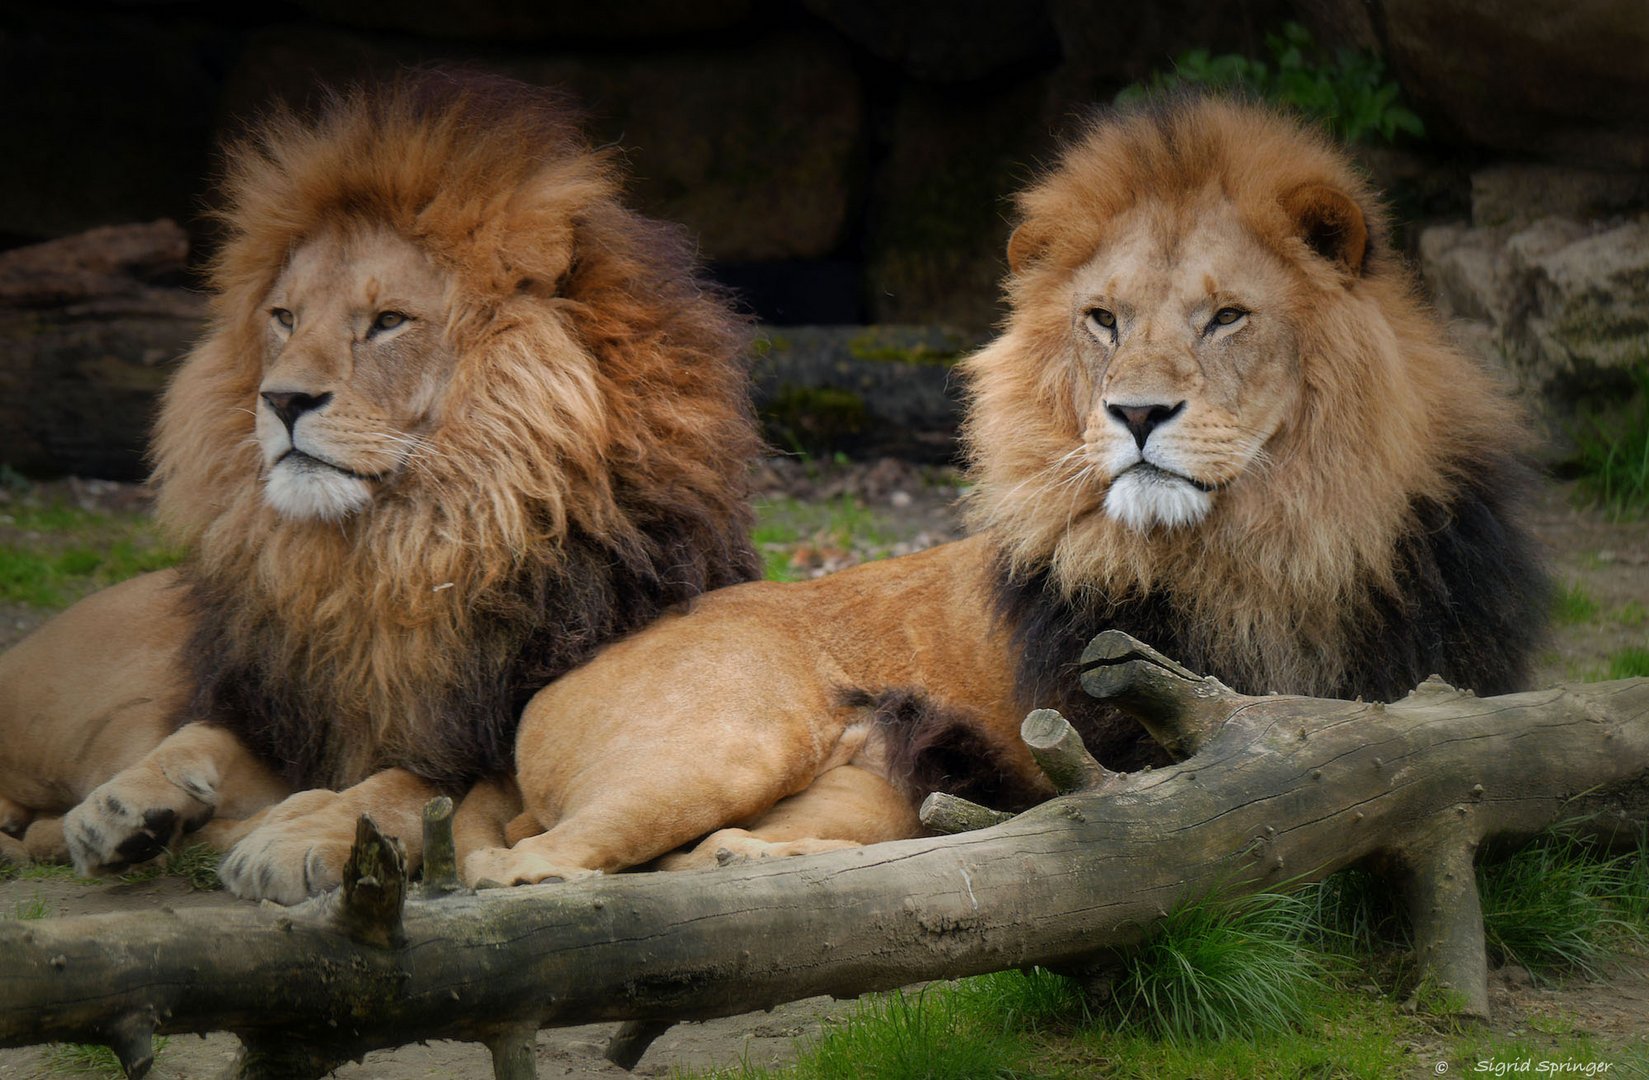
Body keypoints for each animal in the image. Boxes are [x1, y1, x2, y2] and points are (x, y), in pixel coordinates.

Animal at [0, 69, 758, 903]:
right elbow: (201, 734)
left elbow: (409, 782)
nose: (282, 399)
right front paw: (122, 806)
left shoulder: (506, 733)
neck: (391, 555)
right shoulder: (290, 711)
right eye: (284, 317)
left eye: (389, 320)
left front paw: (297, 835)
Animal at [461, 97, 1543, 890]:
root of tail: (551, 684)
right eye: (1103, 320)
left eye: (1226, 317)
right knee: (525, 861)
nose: (1135, 413)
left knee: (720, 850)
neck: (1270, 554)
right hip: (718, 743)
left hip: (856, 788)